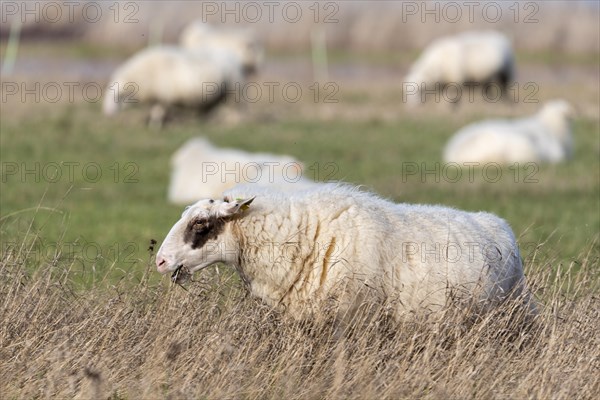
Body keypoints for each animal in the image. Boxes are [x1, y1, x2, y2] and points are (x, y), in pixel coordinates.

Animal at [102, 44, 244, 127]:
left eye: (118, 96)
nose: (107, 114)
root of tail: (233, 56)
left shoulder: (163, 98)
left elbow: (157, 112)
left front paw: (155, 126)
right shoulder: (158, 98)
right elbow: (156, 111)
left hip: (233, 92)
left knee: (235, 111)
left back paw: (233, 124)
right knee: (209, 109)